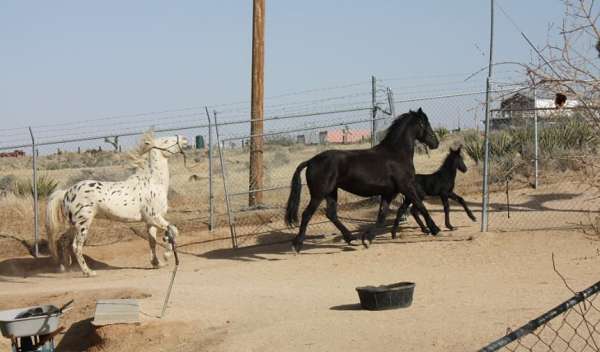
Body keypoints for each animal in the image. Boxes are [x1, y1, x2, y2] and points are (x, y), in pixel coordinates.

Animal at [284, 108, 442, 253]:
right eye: (426, 124)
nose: (436, 143)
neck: (396, 154)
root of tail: (311, 161)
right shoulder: (406, 186)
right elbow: (421, 205)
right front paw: (435, 229)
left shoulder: (388, 193)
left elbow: (381, 217)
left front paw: (367, 239)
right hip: (319, 194)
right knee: (307, 214)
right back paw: (297, 245)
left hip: (331, 192)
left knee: (331, 214)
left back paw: (350, 238)